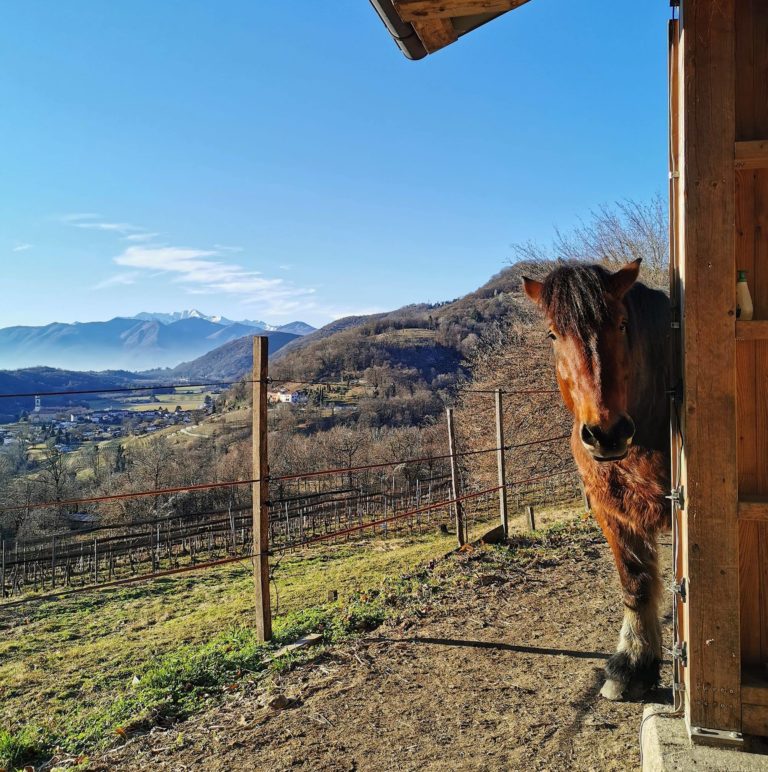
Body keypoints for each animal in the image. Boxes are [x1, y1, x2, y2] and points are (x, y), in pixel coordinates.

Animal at [522, 258, 670, 701]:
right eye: (553, 333)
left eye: (622, 324)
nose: (606, 433)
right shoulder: (613, 511)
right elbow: (635, 582)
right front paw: (634, 664)